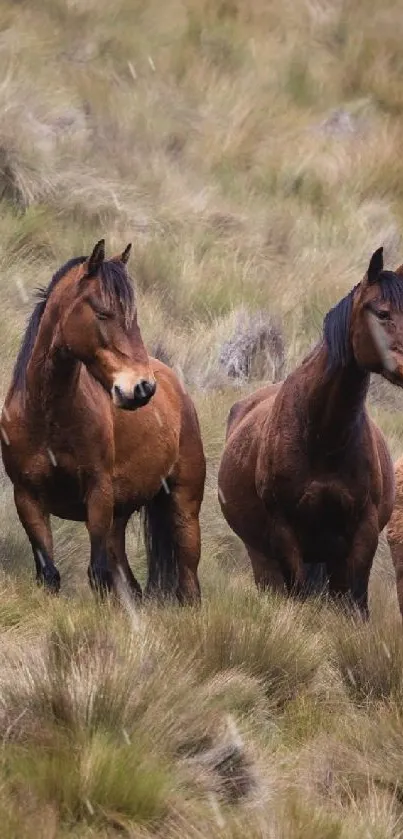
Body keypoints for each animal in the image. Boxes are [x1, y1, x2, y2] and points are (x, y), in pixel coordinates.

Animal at [0, 240, 205, 600]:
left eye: (132, 317)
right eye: (102, 313)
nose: (142, 388)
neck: (45, 418)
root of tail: (175, 385)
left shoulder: (98, 493)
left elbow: (98, 575)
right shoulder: (28, 498)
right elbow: (50, 574)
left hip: (184, 508)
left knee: (189, 584)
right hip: (118, 521)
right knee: (130, 583)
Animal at [219, 249, 403, 616]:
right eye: (382, 312)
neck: (322, 436)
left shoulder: (361, 533)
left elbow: (355, 603)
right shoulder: (285, 531)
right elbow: (299, 593)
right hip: (263, 557)